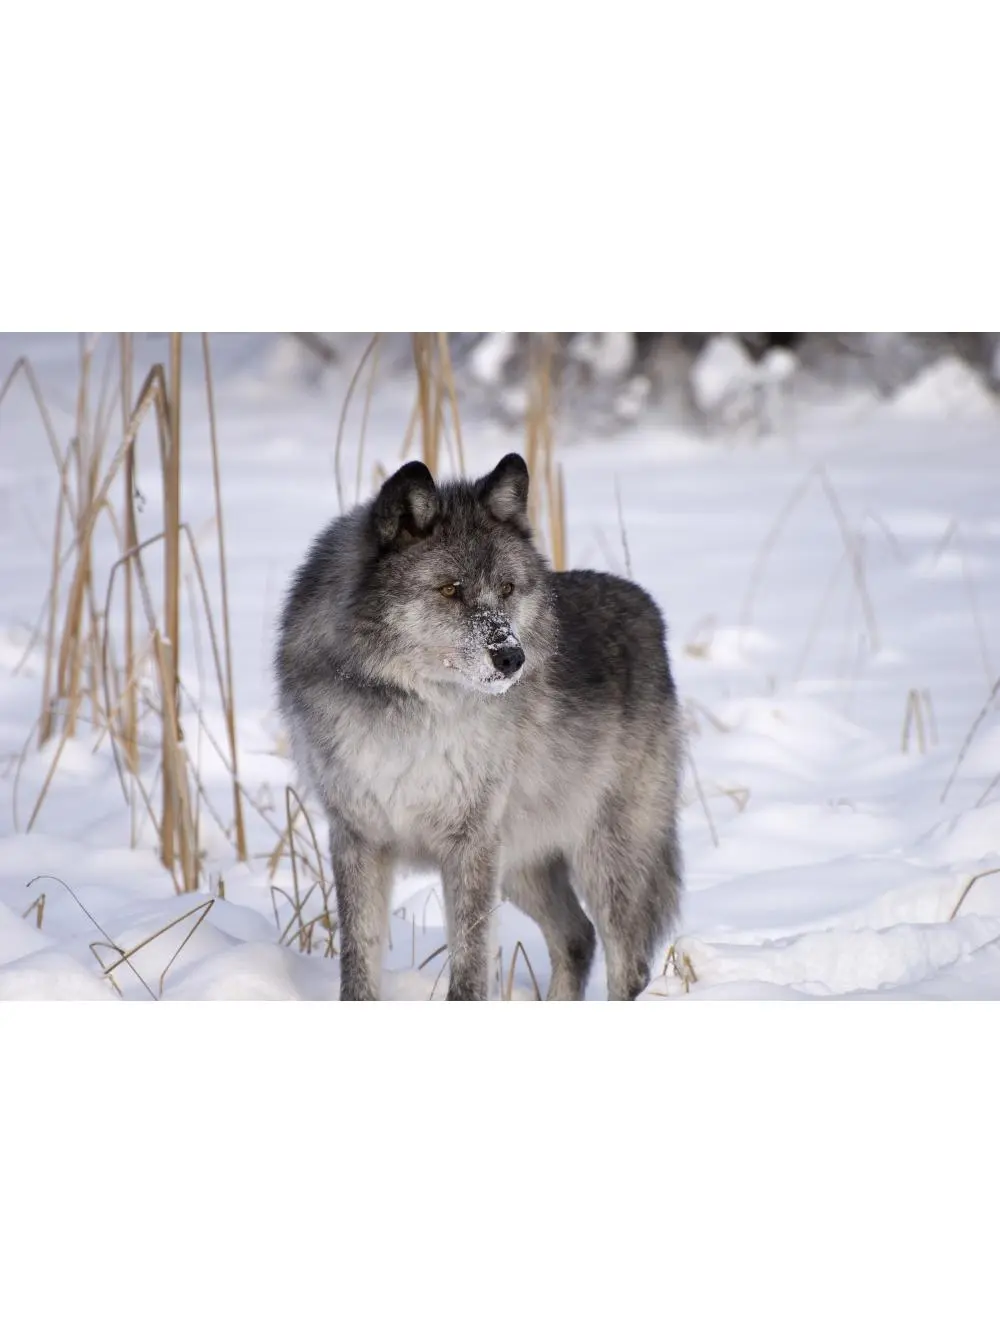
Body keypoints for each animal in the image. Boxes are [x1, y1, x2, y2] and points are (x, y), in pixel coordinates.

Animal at [275, 453, 683, 1001]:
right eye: (451, 590)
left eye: (507, 589)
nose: (512, 657)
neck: (411, 713)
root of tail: (647, 606)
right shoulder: (358, 837)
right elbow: (357, 965)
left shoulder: (470, 846)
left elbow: (469, 971)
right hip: (521, 862)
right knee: (577, 937)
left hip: (602, 857)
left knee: (627, 964)